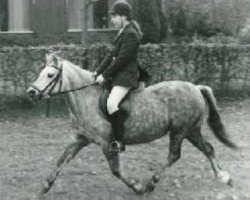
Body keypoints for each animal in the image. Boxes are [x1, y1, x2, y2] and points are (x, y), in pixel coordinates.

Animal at [26, 53, 237, 195]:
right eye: (42, 73)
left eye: (50, 75)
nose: (31, 92)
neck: (86, 98)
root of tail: (195, 87)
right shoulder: (80, 140)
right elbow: (61, 159)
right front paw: (45, 186)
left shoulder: (107, 143)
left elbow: (116, 170)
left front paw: (137, 187)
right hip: (191, 131)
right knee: (208, 148)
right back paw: (223, 177)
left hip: (180, 131)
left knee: (174, 155)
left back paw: (151, 183)